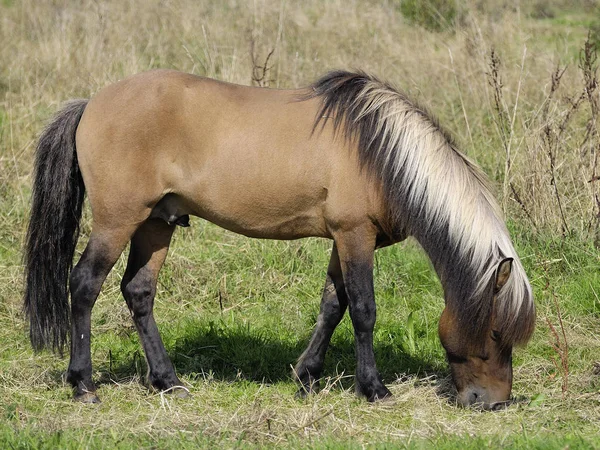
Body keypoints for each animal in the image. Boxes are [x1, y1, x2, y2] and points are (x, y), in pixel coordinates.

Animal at [23, 69, 536, 408]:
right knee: (84, 285)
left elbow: (333, 305)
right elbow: (364, 310)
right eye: (495, 332)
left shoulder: (343, 240)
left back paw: (168, 381)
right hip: (118, 220)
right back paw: (83, 384)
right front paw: (373, 388)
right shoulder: (355, 235)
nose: (493, 401)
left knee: (139, 292)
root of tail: (91, 104)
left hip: (156, 223)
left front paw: (306, 376)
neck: (381, 154)